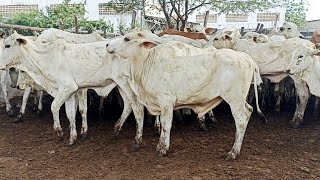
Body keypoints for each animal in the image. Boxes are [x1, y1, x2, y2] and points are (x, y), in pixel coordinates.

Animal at [106, 31, 264, 160]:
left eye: (126, 38)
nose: (107, 44)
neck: (146, 65)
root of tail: (246, 58)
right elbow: (161, 124)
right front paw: (159, 146)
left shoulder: (166, 102)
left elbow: (166, 125)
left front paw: (163, 149)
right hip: (240, 100)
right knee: (249, 110)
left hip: (235, 99)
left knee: (241, 121)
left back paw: (233, 153)